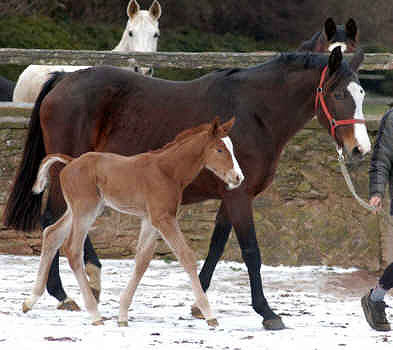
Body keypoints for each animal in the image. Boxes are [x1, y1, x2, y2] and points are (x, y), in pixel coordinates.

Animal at [23, 117, 242, 326]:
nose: (238, 177)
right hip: (85, 210)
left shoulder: (150, 220)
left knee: (52, 234)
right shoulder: (164, 218)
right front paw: (209, 315)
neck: (167, 171)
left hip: (80, 209)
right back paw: (95, 314)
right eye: (220, 149)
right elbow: (186, 256)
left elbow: (142, 260)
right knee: (72, 249)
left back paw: (30, 301)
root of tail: (71, 162)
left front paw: (122, 315)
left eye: (231, 148)